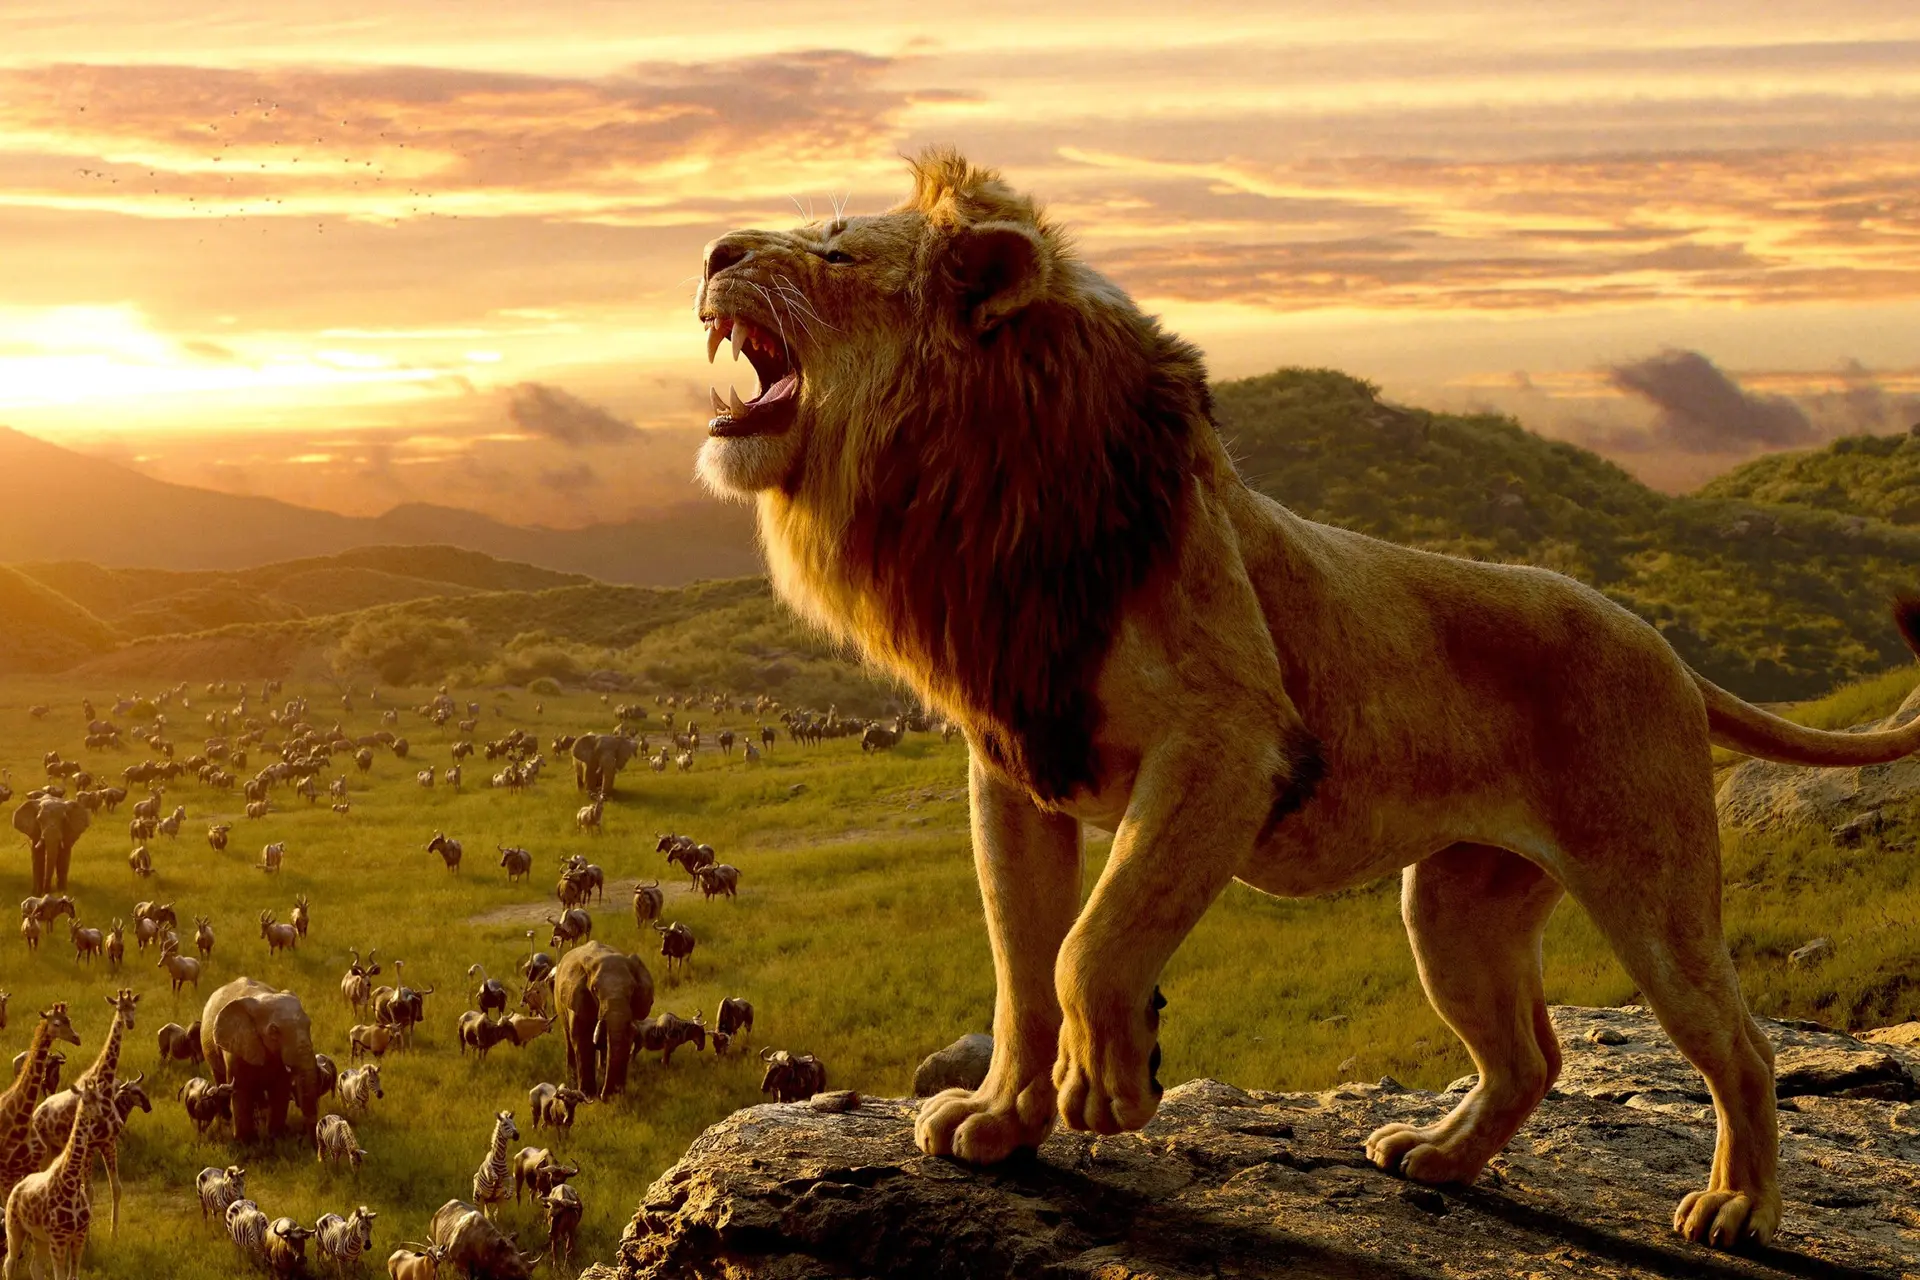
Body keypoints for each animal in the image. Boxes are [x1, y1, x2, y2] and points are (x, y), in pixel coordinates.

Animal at [690, 147, 1920, 1251]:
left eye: (834, 251)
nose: (711, 251)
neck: (978, 502)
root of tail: (1660, 642)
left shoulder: (1229, 744)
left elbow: (1093, 941)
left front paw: (1113, 1085)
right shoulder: (1015, 769)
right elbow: (1020, 970)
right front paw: (1000, 1121)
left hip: (1652, 889)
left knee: (1740, 1045)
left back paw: (1737, 1208)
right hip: (1457, 908)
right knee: (1531, 1056)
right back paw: (1438, 1156)